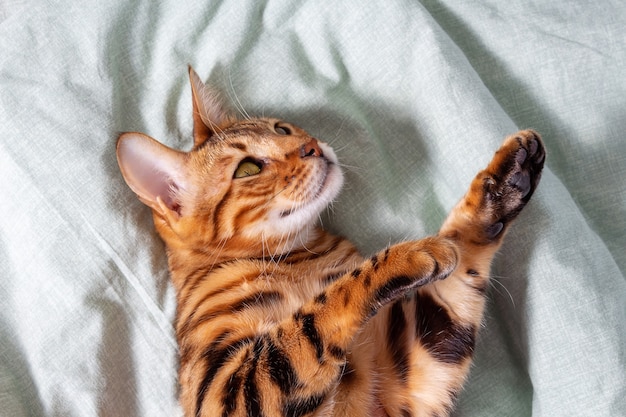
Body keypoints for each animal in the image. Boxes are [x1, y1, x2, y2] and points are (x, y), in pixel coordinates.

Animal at [116, 68, 540, 416]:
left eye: (281, 129)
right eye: (248, 169)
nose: (313, 146)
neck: (298, 256)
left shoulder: (413, 378)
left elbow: (461, 259)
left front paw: (504, 182)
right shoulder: (227, 388)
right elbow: (323, 307)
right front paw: (410, 253)